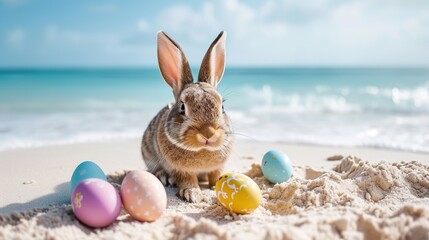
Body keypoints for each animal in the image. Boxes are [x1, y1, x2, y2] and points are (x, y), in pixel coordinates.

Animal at [142, 30, 232, 202]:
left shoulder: (218, 167)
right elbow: (187, 179)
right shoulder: (180, 170)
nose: (208, 133)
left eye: (222, 106)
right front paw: (193, 194)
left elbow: (216, 175)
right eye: (182, 107)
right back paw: (164, 177)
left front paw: (217, 185)